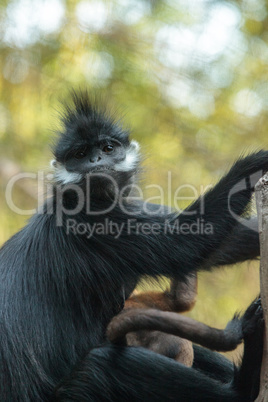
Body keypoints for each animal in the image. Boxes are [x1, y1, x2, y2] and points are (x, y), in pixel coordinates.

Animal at [0, 92, 266, 402]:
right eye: (80, 154)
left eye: (108, 147)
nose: (95, 159)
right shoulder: (88, 222)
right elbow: (183, 244)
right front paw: (255, 164)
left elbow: (223, 244)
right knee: (103, 363)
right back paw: (243, 383)